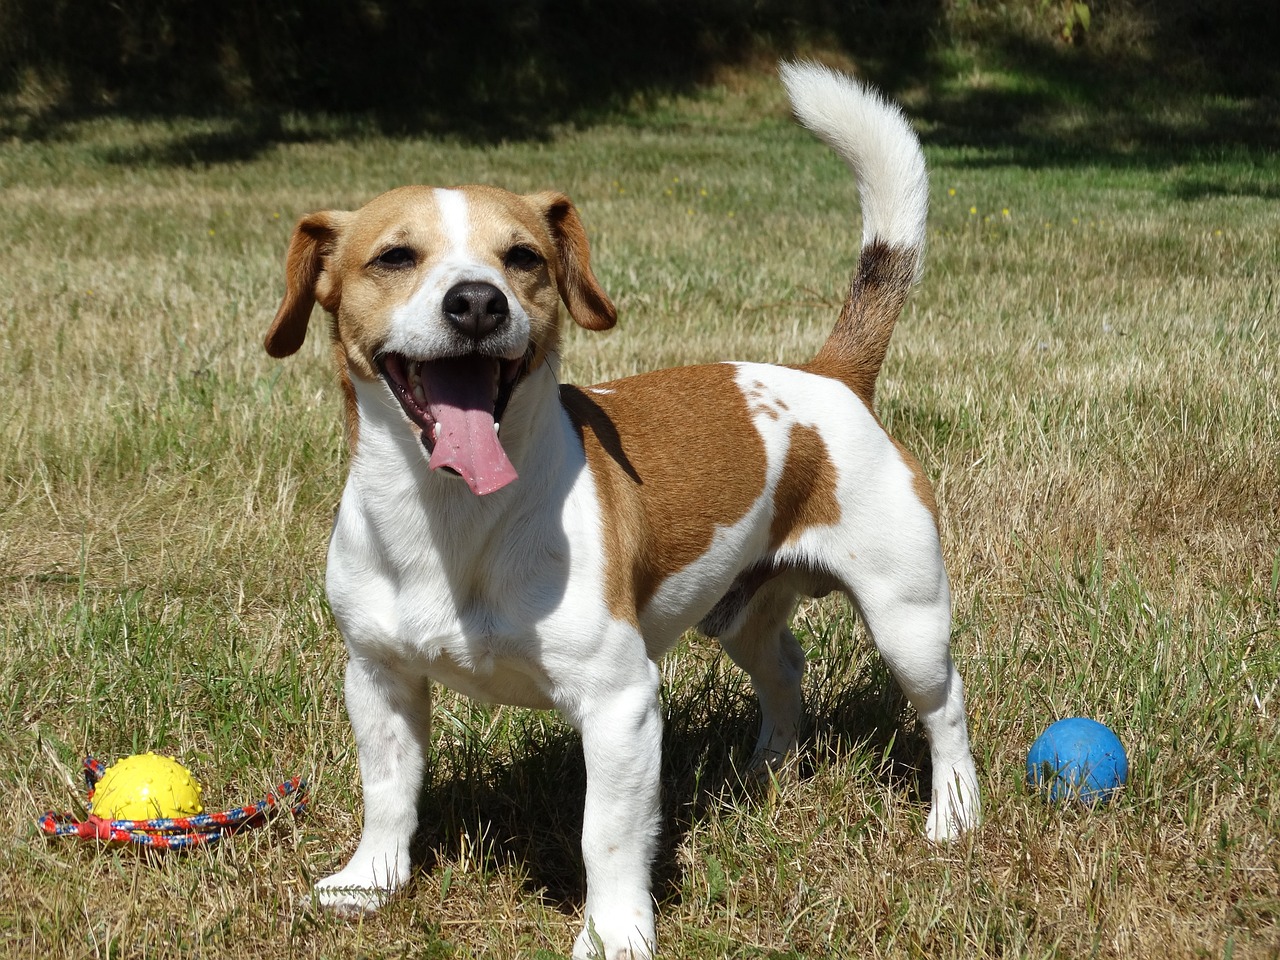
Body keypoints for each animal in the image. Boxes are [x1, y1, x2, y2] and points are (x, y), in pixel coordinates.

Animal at [262, 62, 977, 960]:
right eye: (394, 256)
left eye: (523, 257)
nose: (477, 302)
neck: (452, 516)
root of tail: (831, 375)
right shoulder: (378, 677)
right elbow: (388, 789)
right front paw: (371, 882)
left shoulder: (620, 703)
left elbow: (605, 834)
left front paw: (614, 935)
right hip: (740, 614)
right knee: (785, 670)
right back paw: (764, 770)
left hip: (907, 618)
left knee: (945, 709)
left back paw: (954, 817)